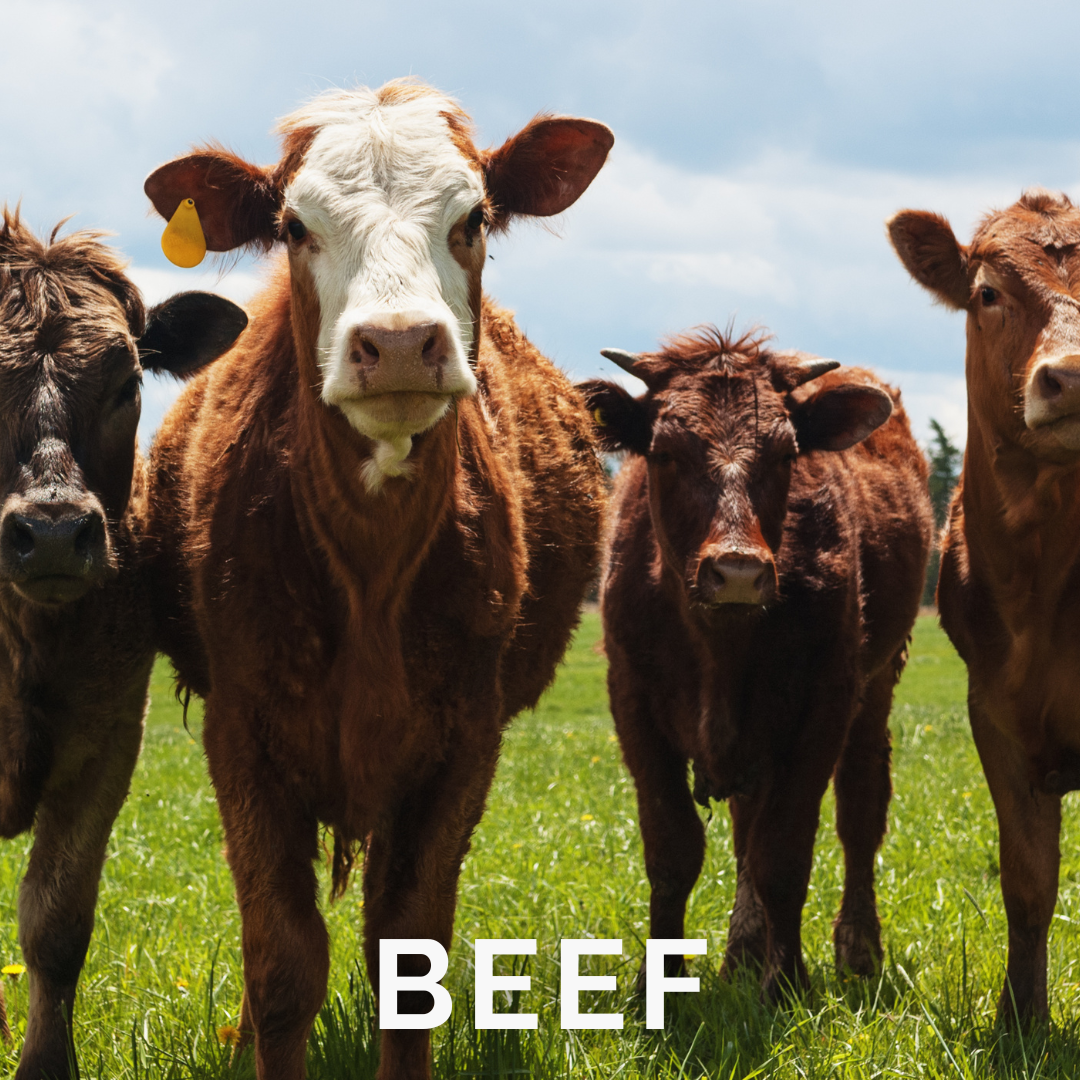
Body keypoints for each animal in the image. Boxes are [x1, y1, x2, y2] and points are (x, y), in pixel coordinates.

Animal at [140, 81, 611, 1080]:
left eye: (474, 218)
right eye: (293, 225)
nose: (396, 345)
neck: (370, 574)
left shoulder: (463, 740)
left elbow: (408, 953)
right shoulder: (241, 733)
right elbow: (281, 959)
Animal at [579, 329, 932, 999]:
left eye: (786, 454)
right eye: (664, 451)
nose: (737, 570)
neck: (719, 645)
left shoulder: (823, 708)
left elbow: (784, 854)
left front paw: (786, 982)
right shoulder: (633, 705)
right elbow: (675, 850)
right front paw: (659, 985)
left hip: (876, 689)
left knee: (860, 810)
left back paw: (857, 949)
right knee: (746, 828)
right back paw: (742, 949)